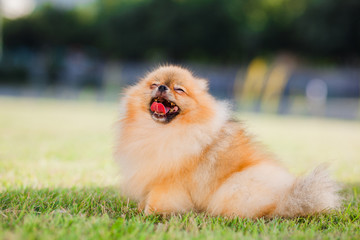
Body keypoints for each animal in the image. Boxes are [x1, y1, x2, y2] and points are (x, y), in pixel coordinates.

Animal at [114, 65, 340, 218]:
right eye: (153, 84)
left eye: (179, 89)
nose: (161, 87)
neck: (159, 131)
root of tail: (286, 196)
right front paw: (139, 209)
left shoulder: (169, 182)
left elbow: (157, 200)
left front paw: (148, 214)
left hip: (233, 188)